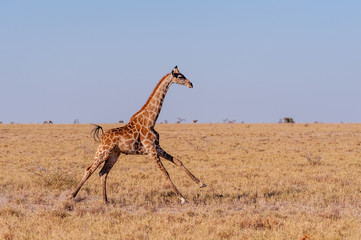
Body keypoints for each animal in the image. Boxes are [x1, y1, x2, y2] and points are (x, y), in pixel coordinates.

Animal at [68, 66, 205, 204]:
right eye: (180, 76)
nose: (191, 84)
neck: (150, 121)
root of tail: (102, 137)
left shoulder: (157, 147)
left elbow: (178, 161)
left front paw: (201, 183)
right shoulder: (151, 150)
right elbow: (165, 172)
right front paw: (182, 198)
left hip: (113, 155)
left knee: (103, 173)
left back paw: (105, 201)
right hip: (103, 152)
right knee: (89, 169)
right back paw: (71, 196)